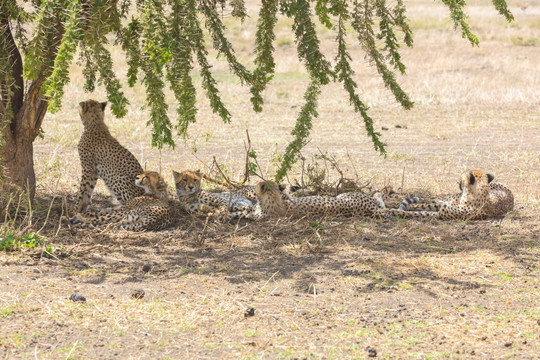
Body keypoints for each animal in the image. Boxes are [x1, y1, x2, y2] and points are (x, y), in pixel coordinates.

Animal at [388, 171, 516, 219]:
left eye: (462, 178)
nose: (458, 182)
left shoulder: (440, 214)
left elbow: (415, 212)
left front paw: (391, 211)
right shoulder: (445, 206)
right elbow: (423, 206)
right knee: (433, 201)